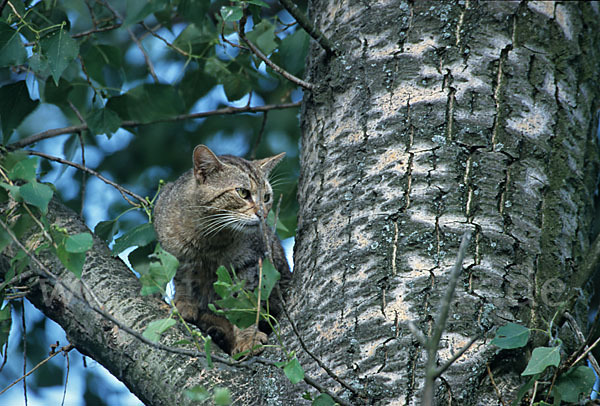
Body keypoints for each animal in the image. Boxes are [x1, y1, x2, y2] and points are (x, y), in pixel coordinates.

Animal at [151, 144, 290, 354]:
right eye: (243, 193)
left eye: (266, 197)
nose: (263, 214)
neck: (210, 239)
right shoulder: (177, 256)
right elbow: (183, 280)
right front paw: (184, 303)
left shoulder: (249, 265)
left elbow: (243, 306)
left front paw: (247, 339)